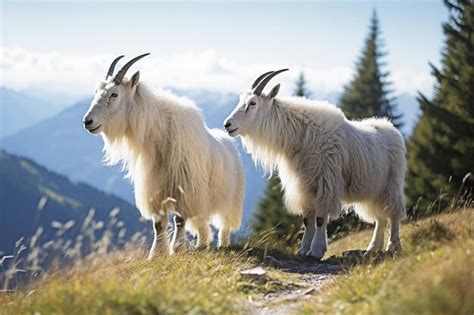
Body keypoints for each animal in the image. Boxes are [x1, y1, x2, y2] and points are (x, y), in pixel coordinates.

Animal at [83, 53, 244, 256]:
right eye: (97, 91)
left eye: (114, 94)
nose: (88, 121)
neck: (161, 134)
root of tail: (229, 143)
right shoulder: (155, 190)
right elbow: (158, 224)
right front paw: (156, 255)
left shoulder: (185, 189)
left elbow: (179, 220)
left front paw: (177, 249)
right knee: (202, 224)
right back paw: (201, 245)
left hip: (231, 199)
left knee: (224, 224)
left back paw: (223, 244)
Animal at [224, 70, 406, 260]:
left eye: (253, 103)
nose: (227, 125)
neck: (301, 136)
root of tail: (393, 130)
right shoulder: (304, 187)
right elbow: (307, 219)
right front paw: (303, 250)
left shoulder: (325, 183)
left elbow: (320, 219)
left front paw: (316, 251)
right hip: (374, 189)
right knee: (380, 217)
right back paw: (373, 248)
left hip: (391, 184)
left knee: (393, 213)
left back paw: (392, 246)